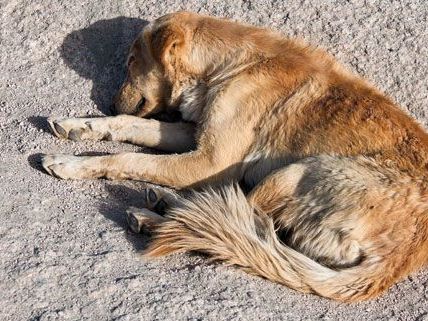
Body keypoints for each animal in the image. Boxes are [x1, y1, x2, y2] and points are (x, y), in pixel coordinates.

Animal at [41, 12, 428, 302]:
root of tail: (400, 260)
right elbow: (131, 124)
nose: (107, 103)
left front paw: (72, 163)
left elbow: (127, 159)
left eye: (131, 62)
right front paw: (80, 126)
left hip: (295, 173)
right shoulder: (193, 134)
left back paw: (159, 216)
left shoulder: (209, 163)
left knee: (244, 223)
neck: (232, 64)